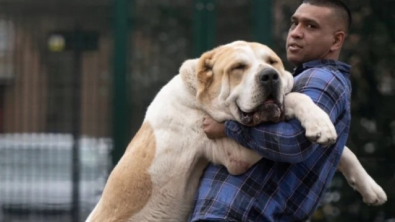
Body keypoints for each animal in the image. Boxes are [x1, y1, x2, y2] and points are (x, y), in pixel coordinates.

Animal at [86, 40, 386, 221]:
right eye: (238, 68)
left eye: (272, 62)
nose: (270, 76)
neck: (197, 98)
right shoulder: (235, 154)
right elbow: (294, 98)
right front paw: (318, 120)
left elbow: (343, 149)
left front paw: (369, 186)